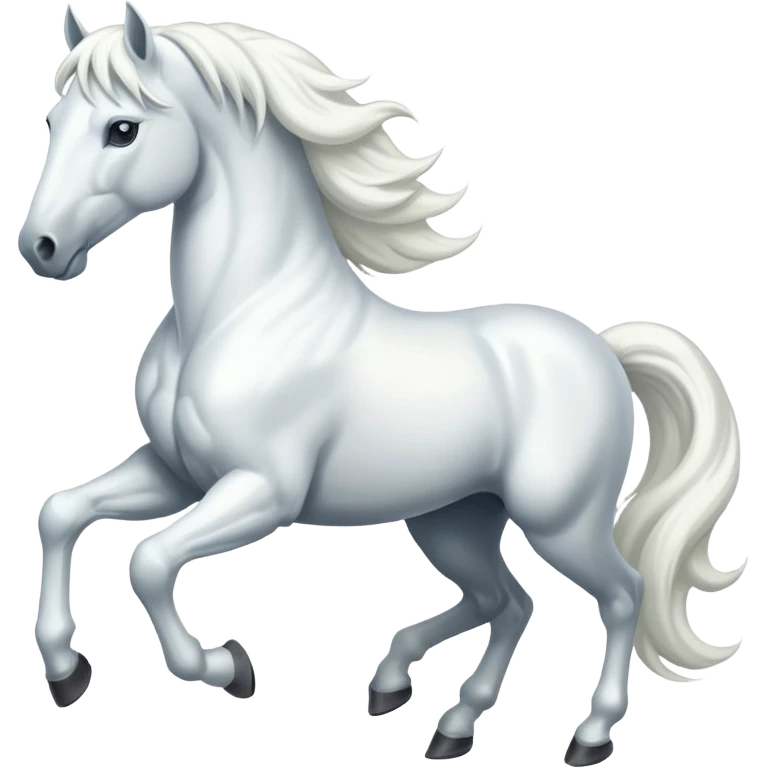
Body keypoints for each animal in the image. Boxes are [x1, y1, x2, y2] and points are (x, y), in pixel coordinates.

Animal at [20, 4, 746, 764]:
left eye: (121, 129)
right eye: (53, 120)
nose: (40, 248)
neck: (240, 314)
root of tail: (602, 348)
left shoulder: (260, 491)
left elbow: (151, 561)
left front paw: (227, 666)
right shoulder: (177, 474)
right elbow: (63, 513)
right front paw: (66, 671)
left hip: (559, 521)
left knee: (621, 594)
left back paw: (588, 735)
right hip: (453, 517)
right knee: (508, 601)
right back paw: (434, 711)